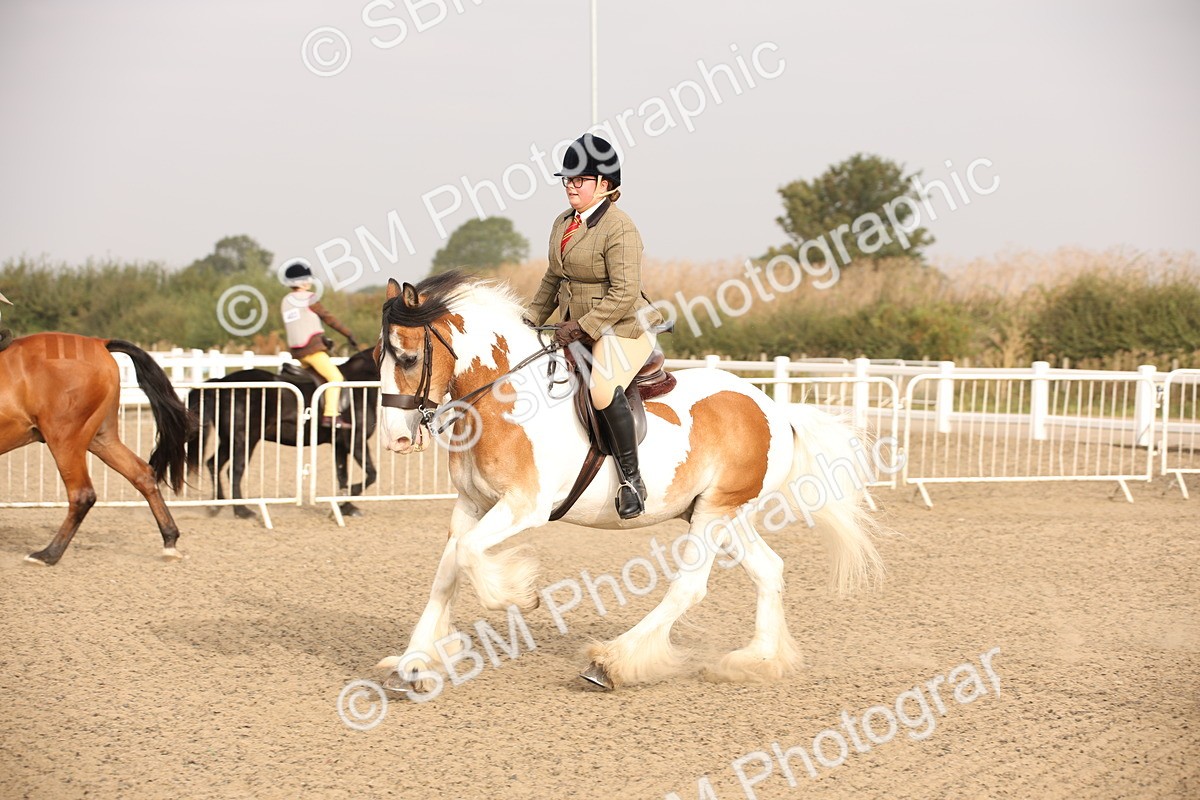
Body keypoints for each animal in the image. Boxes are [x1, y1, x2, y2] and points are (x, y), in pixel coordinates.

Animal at [0, 333, 196, 565]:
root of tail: (99, 342)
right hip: (101, 439)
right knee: (142, 474)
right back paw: (169, 540)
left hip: (64, 439)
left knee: (82, 494)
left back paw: (48, 555)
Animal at [185, 347, 379, 519]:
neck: (359, 386)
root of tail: (223, 382)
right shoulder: (356, 441)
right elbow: (371, 474)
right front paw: (347, 498)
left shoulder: (340, 445)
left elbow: (342, 475)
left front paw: (345, 507)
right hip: (245, 439)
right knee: (234, 471)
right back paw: (242, 511)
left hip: (229, 439)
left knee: (213, 464)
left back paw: (216, 505)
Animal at [372, 271, 884, 693]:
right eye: (378, 356)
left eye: (409, 358)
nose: (396, 439)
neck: (505, 397)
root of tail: (775, 409)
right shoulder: (472, 504)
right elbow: (448, 570)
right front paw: (415, 663)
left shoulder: (524, 506)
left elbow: (468, 554)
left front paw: (518, 594)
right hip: (722, 513)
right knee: (768, 569)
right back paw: (757, 660)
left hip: (716, 511)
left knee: (690, 586)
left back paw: (613, 661)